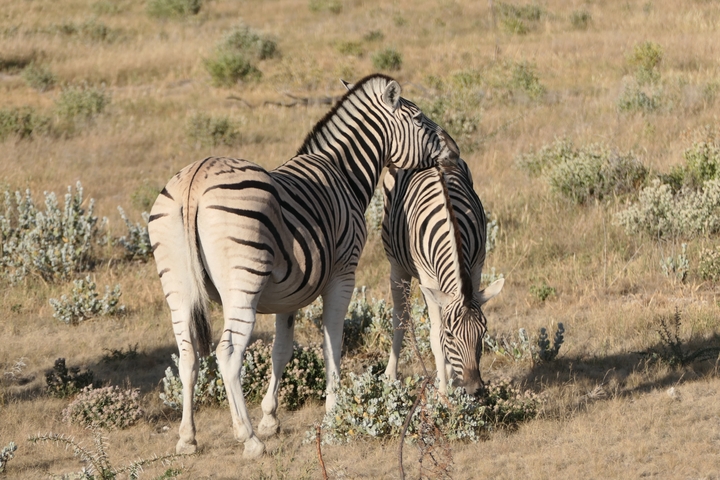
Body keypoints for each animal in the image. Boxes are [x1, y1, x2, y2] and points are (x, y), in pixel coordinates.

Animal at [148, 74, 460, 459]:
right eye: (418, 119)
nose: (455, 150)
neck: (344, 173)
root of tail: (195, 178)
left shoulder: (288, 293)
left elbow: (281, 351)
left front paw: (270, 417)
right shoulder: (343, 274)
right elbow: (332, 341)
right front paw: (334, 409)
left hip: (176, 283)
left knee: (188, 354)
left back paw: (187, 437)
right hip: (243, 282)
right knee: (228, 352)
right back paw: (248, 438)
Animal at [381, 157, 504, 396]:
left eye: (483, 332)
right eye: (450, 335)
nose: (475, 389)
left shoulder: (476, 268)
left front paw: (452, 379)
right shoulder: (428, 279)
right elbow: (435, 338)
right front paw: (443, 394)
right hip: (396, 263)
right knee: (400, 316)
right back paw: (390, 376)